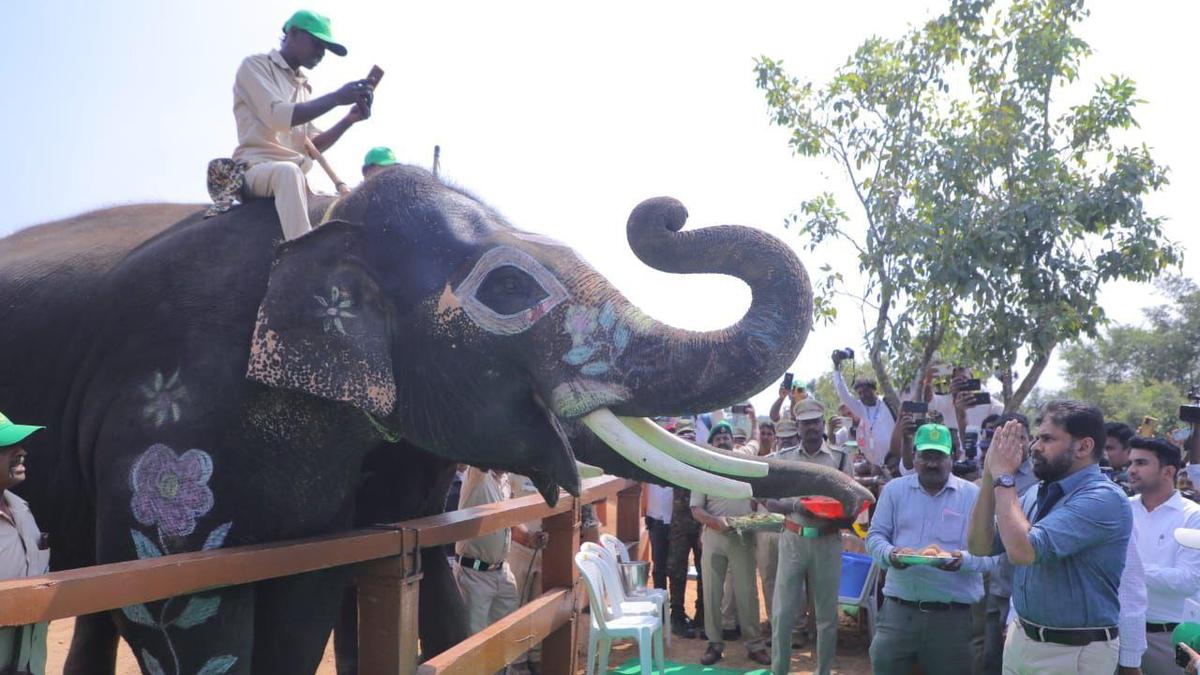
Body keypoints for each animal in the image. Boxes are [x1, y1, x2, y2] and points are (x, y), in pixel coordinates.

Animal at [0, 164, 872, 674]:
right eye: (511, 290)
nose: (855, 500)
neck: (327, 217)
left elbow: (309, 593)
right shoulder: (167, 412)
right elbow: (175, 601)